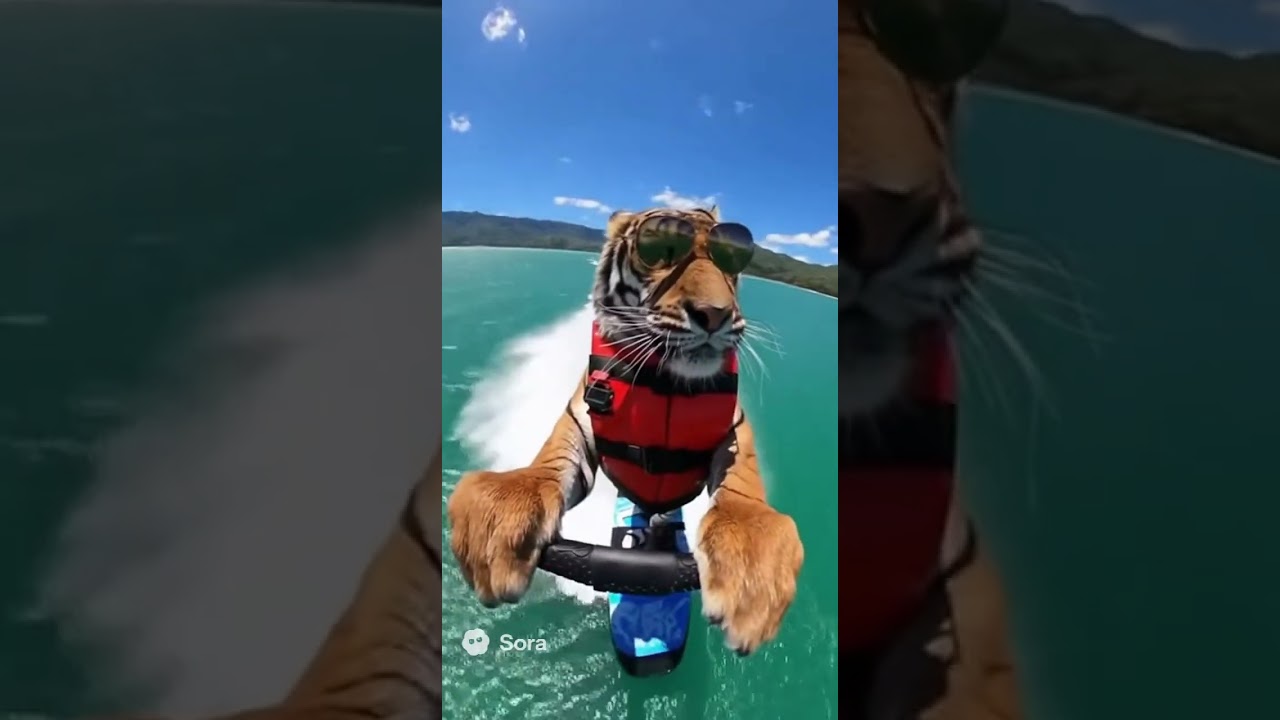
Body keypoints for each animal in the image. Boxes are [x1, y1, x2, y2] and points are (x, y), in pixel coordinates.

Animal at [447, 205, 805, 655]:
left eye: (731, 258)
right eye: (659, 248)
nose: (715, 313)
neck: (666, 380)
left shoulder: (735, 430)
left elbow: (741, 494)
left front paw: (751, 574)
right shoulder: (579, 419)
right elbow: (545, 469)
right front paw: (496, 524)